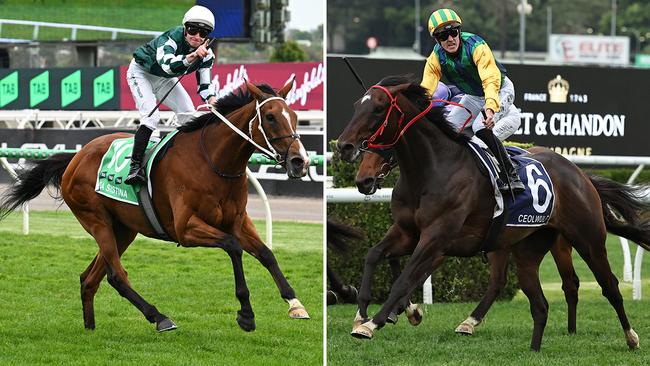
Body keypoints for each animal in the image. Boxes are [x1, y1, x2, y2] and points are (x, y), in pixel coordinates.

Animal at [0, 81, 312, 334]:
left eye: (295, 117)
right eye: (270, 117)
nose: (300, 161)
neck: (214, 161)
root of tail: (75, 158)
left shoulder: (237, 220)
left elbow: (266, 253)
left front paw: (294, 303)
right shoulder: (186, 229)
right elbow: (233, 247)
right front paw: (246, 314)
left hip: (123, 229)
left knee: (90, 277)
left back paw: (90, 327)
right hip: (97, 220)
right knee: (116, 275)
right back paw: (159, 317)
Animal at [354, 148, 576, 334]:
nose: (364, 180)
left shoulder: (436, 245)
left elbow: (412, 275)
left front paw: (401, 311)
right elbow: (386, 258)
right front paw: (400, 311)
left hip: (555, 244)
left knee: (569, 281)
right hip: (502, 243)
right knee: (498, 280)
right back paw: (469, 321)